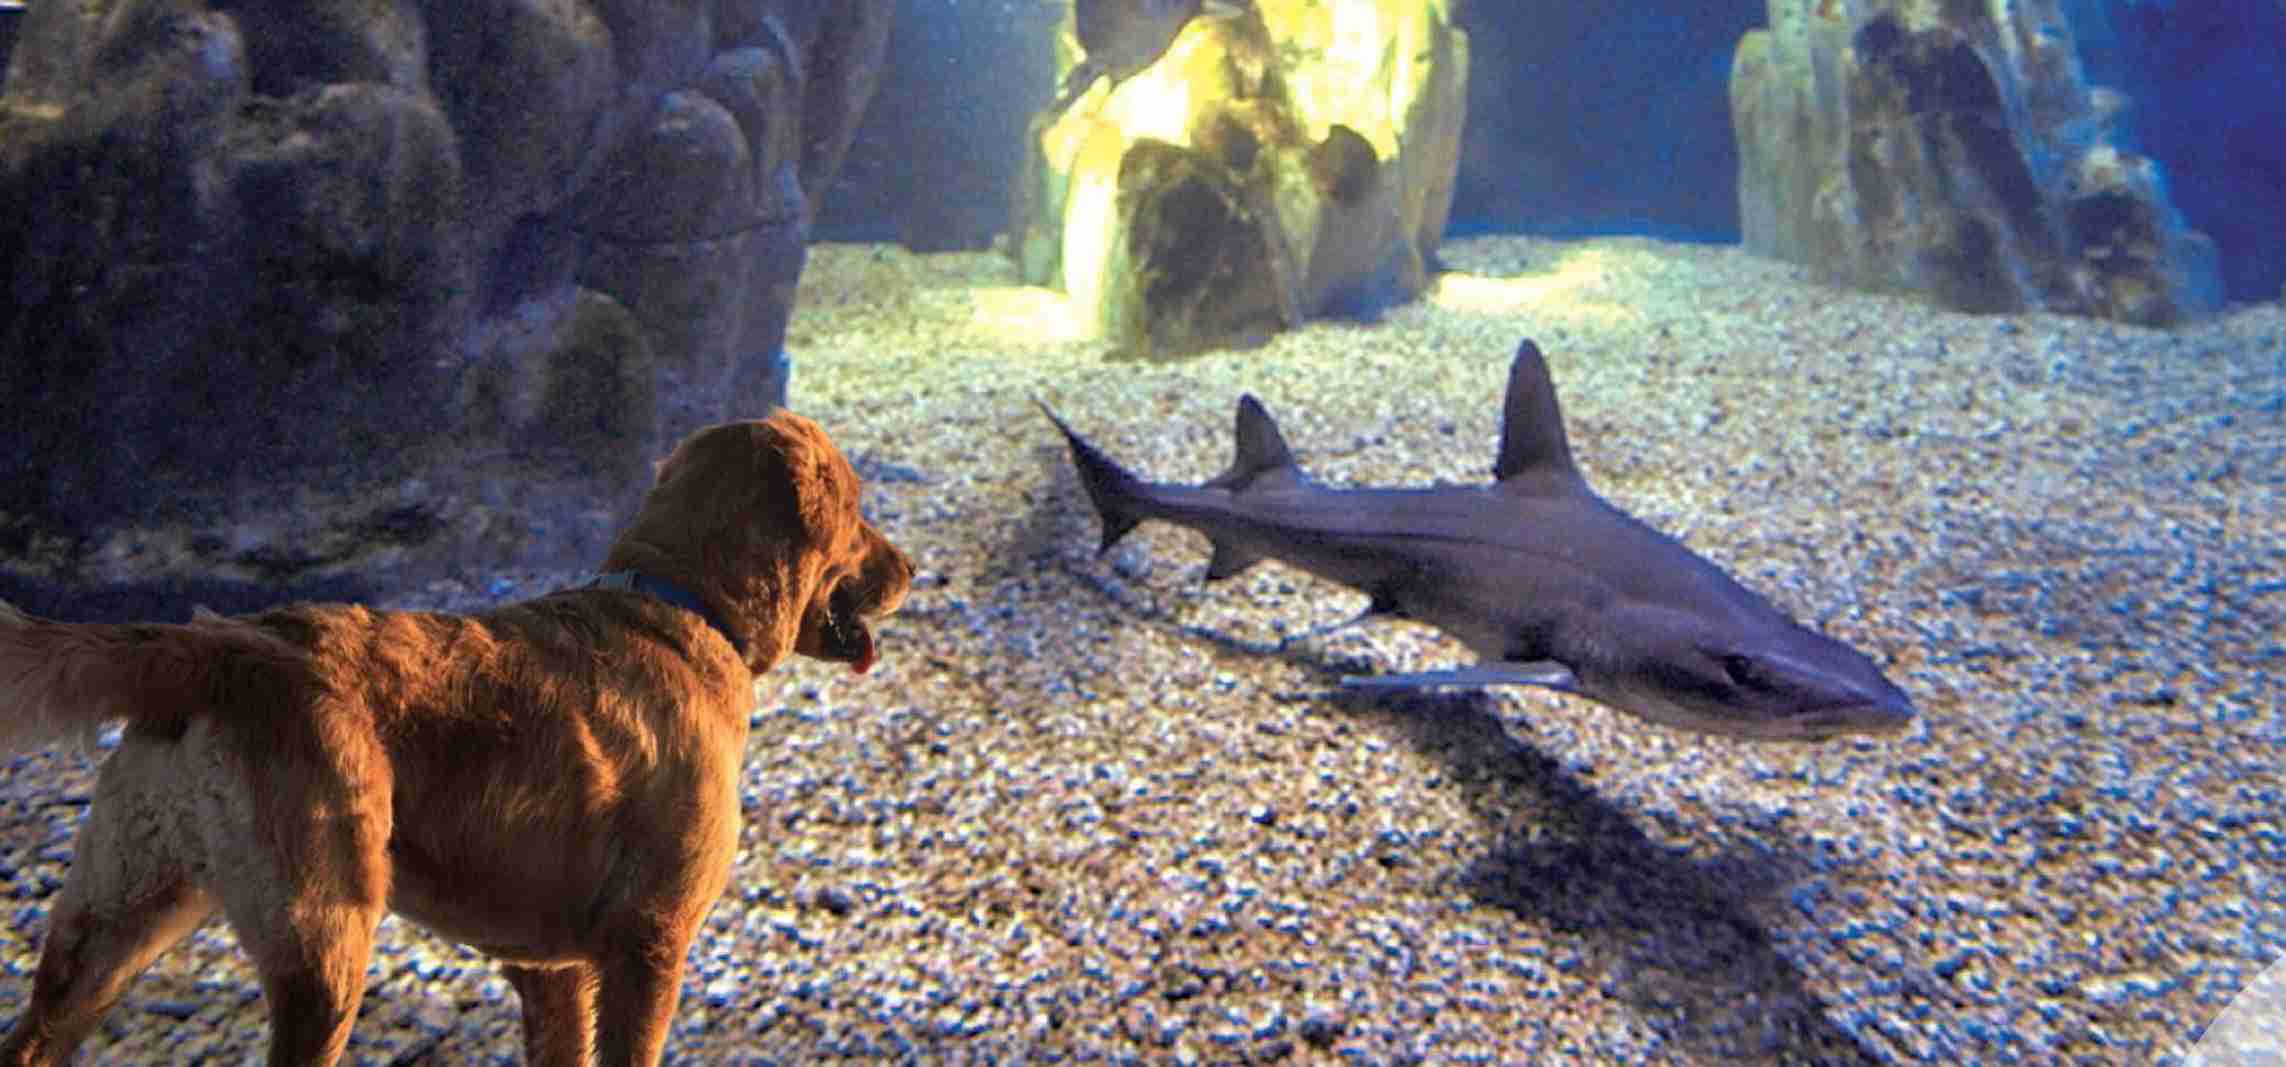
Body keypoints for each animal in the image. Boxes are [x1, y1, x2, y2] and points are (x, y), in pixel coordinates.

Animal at [0, 412, 914, 1066]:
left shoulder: (551, 969)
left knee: (32, 1038)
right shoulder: (649, 942)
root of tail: (222, 644)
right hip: (323, 948)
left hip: (109, 922)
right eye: (859, 509)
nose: (910, 569)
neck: (683, 603)